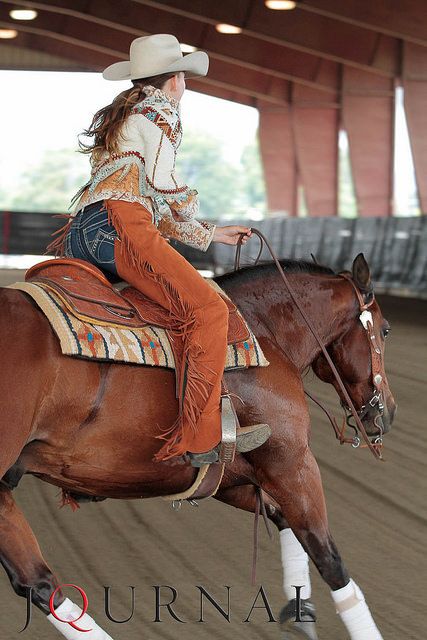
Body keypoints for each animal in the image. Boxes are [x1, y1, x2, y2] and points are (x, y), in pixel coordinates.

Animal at [0, 252, 398, 636]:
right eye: (385, 330)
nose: (389, 411)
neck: (264, 334)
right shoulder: (293, 464)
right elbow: (328, 557)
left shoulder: (229, 478)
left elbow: (281, 517)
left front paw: (301, 613)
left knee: (37, 583)